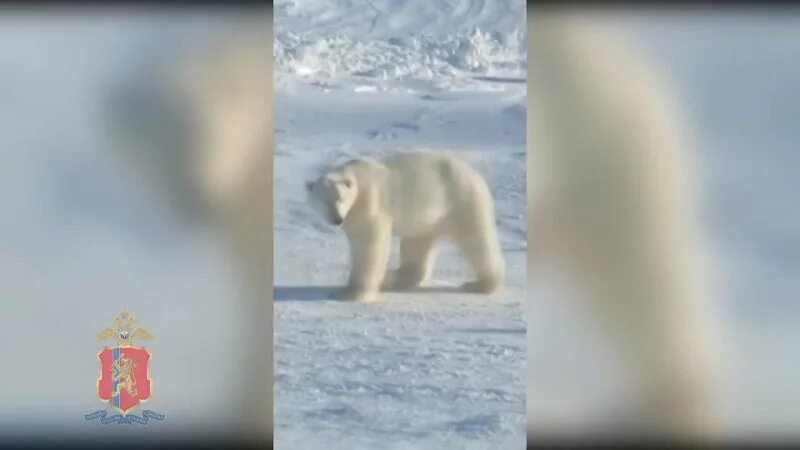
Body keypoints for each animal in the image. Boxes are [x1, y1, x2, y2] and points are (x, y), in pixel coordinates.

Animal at [308, 151, 506, 302]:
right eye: (324, 201)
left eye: (340, 199)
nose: (337, 219)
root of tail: (475, 174)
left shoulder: (370, 203)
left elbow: (369, 243)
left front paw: (353, 293)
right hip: (426, 219)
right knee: (416, 246)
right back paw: (392, 277)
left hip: (460, 201)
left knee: (476, 240)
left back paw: (481, 284)